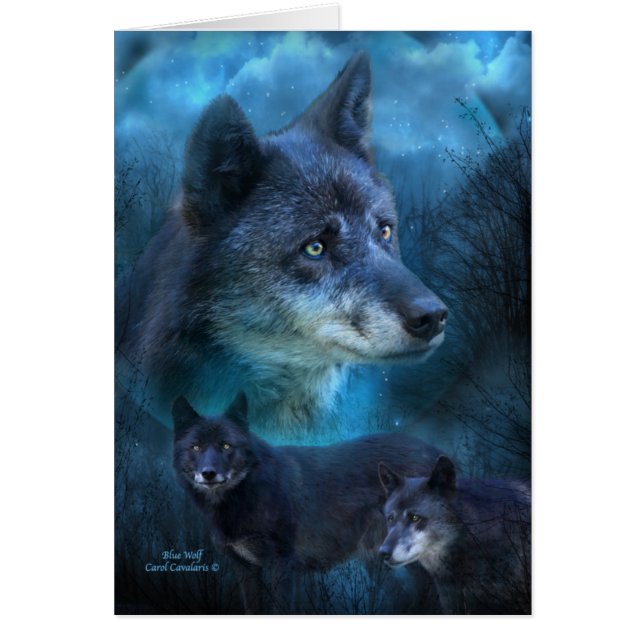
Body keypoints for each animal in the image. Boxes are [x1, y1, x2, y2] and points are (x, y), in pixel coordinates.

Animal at [172, 393, 442, 614]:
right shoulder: (246, 569)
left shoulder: (282, 567)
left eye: (226, 445)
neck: (245, 495)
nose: (208, 473)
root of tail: (435, 452)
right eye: (196, 447)